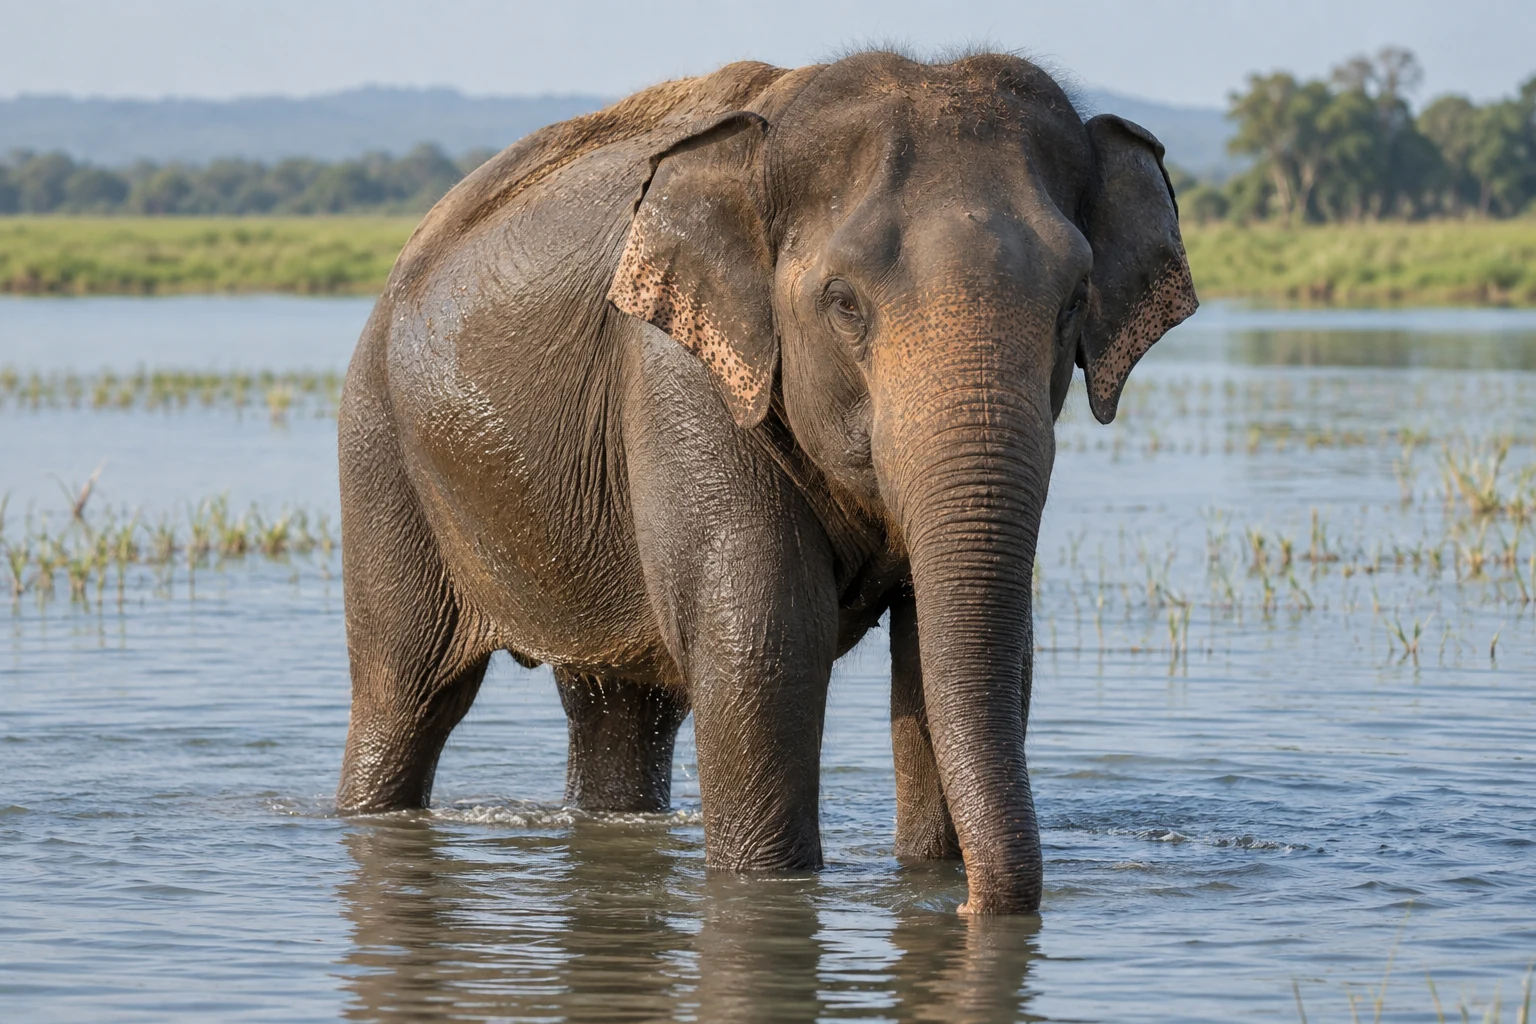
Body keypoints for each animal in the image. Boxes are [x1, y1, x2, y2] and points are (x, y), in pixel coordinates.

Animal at [335, 50, 1197, 914]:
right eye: (843, 302)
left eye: (1074, 302)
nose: (968, 906)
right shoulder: (684, 374)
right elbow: (763, 639)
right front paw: (769, 888)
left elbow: (945, 652)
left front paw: (930, 879)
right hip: (378, 445)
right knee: (407, 695)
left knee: (620, 708)